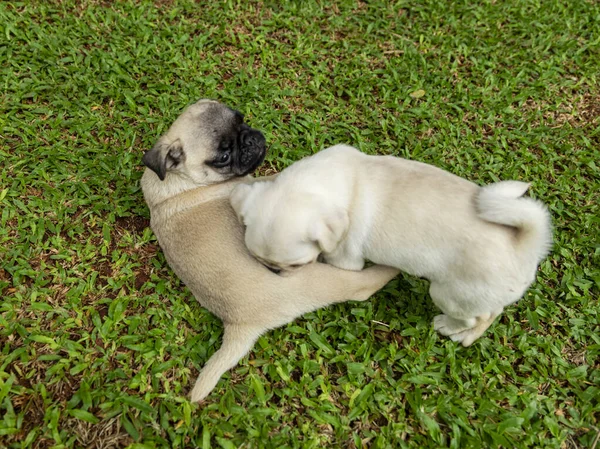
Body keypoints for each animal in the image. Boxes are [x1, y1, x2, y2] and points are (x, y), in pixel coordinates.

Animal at [140, 102, 398, 402]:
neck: (182, 181)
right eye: (223, 156)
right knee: (363, 286)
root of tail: (240, 325)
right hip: (324, 279)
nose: (251, 139)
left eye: (241, 119)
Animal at [231, 144, 552, 346]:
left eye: (297, 265)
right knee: (491, 314)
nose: (274, 272)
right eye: (257, 259)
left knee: (475, 315)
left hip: (448, 294)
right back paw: (469, 337)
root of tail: (524, 246)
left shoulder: (346, 259)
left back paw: (449, 327)